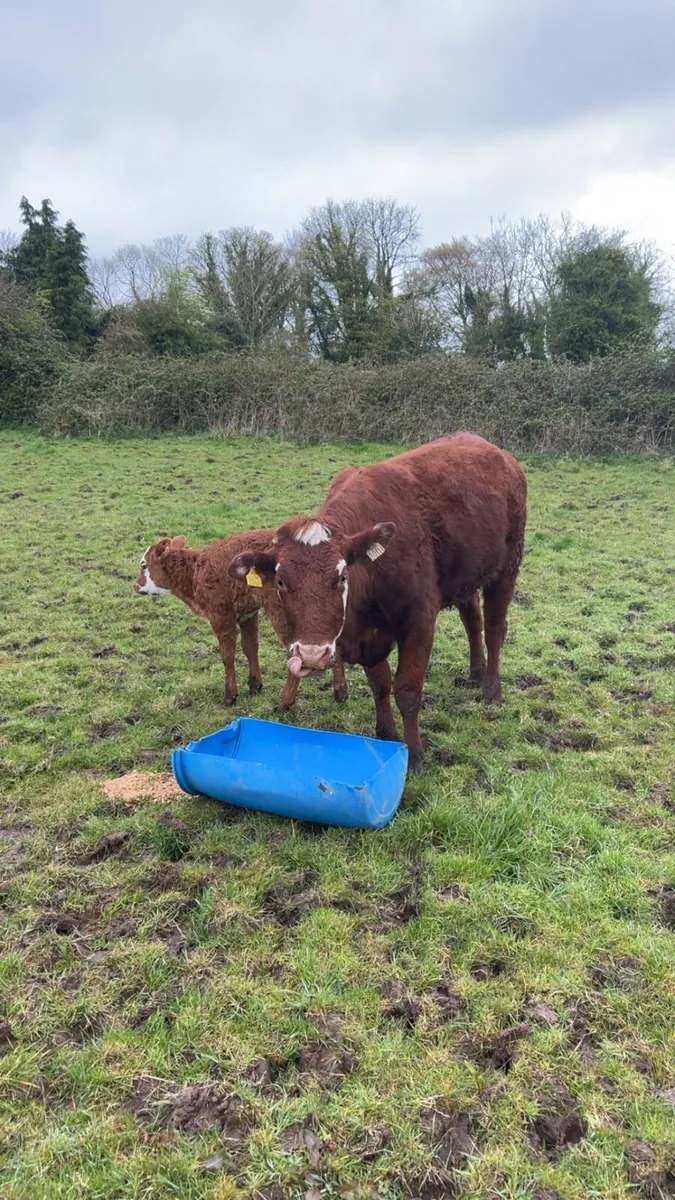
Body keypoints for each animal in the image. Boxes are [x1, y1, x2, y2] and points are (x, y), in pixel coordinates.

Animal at [135, 532, 347, 710]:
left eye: (144, 565)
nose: (135, 586)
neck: (196, 570)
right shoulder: (248, 613)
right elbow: (250, 647)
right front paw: (255, 684)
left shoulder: (220, 614)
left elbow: (227, 654)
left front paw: (231, 695)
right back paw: (340, 692)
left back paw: (285, 702)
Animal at [228, 434, 527, 772]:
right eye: (280, 582)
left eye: (341, 577)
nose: (312, 655)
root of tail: (497, 451)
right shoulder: (365, 636)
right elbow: (380, 686)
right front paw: (387, 737)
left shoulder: (419, 622)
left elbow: (407, 690)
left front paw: (415, 756)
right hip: (466, 576)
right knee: (472, 621)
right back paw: (475, 674)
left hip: (507, 567)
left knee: (494, 629)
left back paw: (491, 690)